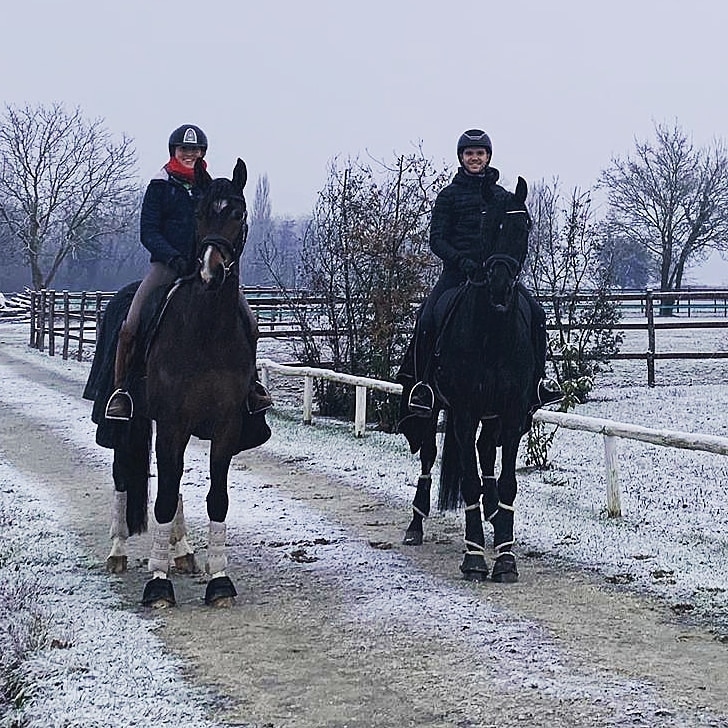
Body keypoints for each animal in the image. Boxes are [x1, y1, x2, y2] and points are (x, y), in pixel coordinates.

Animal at [83, 159, 270, 608]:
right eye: (200, 213)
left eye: (237, 213)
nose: (210, 270)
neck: (206, 332)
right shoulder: (171, 423)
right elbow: (164, 497)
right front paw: (157, 583)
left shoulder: (225, 427)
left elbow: (215, 498)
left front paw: (219, 580)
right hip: (128, 420)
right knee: (124, 474)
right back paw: (118, 552)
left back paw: (181, 552)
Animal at [398, 179, 536, 584]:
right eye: (488, 225)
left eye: (524, 227)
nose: (500, 286)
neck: (492, 334)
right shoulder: (464, 412)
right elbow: (470, 480)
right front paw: (474, 557)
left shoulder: (510, 415)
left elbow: (506, 482)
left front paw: (505, 557)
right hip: (431, 409)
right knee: (429, 456)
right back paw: (416, 525)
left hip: (491, 419)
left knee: (486, 453)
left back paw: (493, 517)